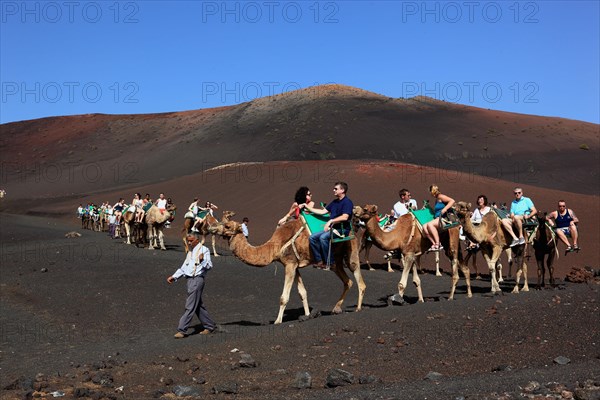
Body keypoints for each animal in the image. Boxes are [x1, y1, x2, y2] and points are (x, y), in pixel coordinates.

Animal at [211, 219, 366, 324]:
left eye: (227, 226)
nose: (212, 227)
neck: (275, 246)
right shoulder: (294, 266)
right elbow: (303, 293)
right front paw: (308, 315)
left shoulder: (290, 264)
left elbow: (284, 297)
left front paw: (277, 321)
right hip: (335, 261)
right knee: (348, 281)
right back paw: (336, 308)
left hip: (351, 251)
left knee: (359, 278)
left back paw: (358, 308)